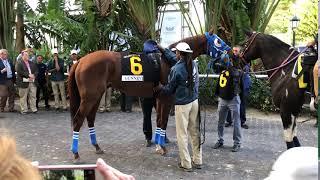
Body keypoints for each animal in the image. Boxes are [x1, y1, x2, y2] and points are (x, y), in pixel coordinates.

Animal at [68, 31, 228, 162]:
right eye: (218, 41)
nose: (229, 54)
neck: (169, 60)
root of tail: (81, 61)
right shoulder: (167, 98)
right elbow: (163, 121)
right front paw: (162, 147)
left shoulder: (159, 98)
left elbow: (158, 121)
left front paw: (158, 145)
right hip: (90, 97)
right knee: (78, 120)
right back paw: (75, 153)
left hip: (96, 96)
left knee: (90, 119)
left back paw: (96, 146)